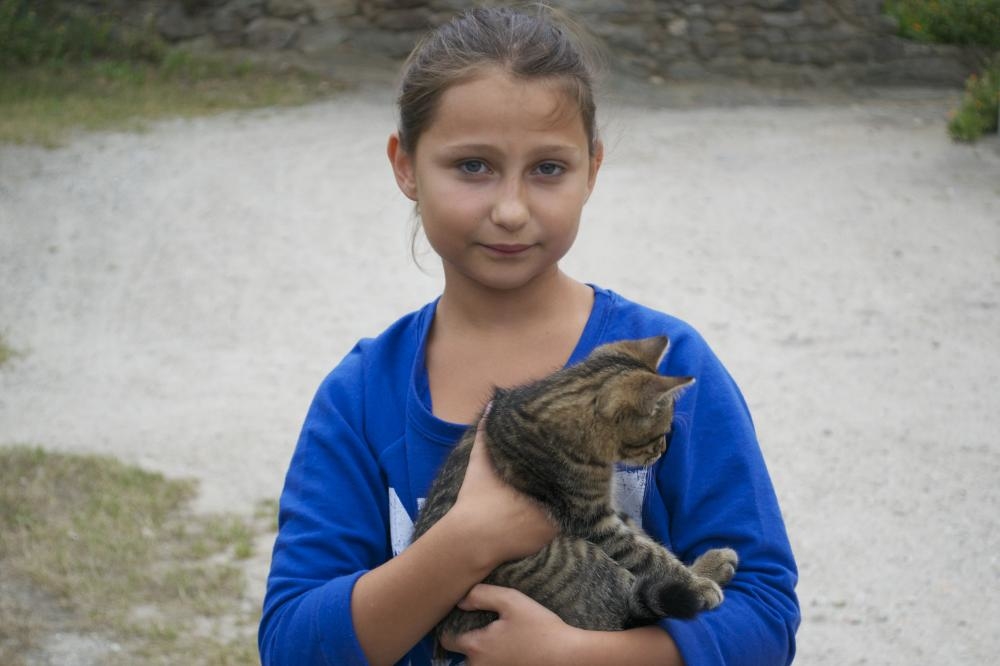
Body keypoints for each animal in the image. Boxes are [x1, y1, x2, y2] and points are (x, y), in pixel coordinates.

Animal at [411, 336, 739, 642]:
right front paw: (695, 583)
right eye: (659, 434)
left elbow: (649, 540)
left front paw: (693, 571)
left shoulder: (608, 509)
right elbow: (648, 555)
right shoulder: (591, 520)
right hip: (577, 558)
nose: (661, 451)